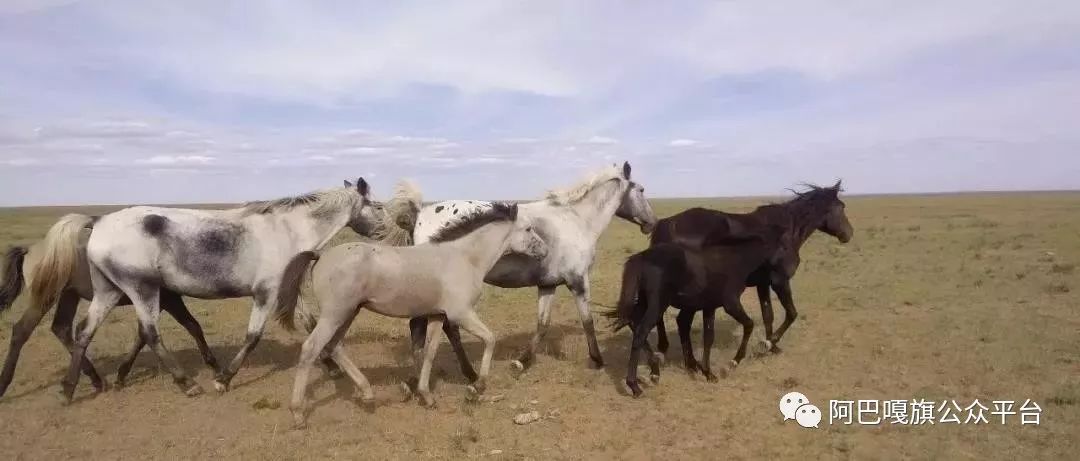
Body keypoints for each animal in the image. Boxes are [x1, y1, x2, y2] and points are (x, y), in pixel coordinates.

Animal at [34, 179, 380, 401]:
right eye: (376, 205)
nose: (383, 232)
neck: (287, 230)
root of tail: (99, 220)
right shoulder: (265, 294)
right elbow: (253, 337)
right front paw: (223, 379)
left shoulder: (284, 290)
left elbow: (310, 325)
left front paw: (331, 366)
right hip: (141, 289)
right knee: (150, 333)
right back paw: (186, 383)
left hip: (109, 291)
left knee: (83, 332)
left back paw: (72, 388)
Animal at [276, 201, 548, 429]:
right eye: (528, 228)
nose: (545, 251)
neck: (464, 258)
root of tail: (321, 254)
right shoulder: (460, 313)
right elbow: (490, 339)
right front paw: (477, 386)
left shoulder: (437, 315)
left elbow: (429, 352)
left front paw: (427, 396)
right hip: (334, 314)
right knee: (311, 348)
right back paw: (298, 414)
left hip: (348, 313)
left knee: (334, 346)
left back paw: (368, 394)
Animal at [393, 161, 652, 375]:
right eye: (641, 190)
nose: (651, 223)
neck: (576, 219)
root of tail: (419, 213)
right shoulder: (578, 281)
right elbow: (588, 321)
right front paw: (597, 360)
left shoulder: (548, 285)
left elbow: (543, 324)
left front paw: (522, 362)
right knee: (440, 328)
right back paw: (464, 374)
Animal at [648, 180, 851, 364]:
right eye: (841, 207)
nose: (849, 234)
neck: (786, 233)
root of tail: (666, 225)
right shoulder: (780, 281)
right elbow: (791, 314)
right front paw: (767, 344)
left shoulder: (763, 283)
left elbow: (768, 315)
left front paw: (772, 348)